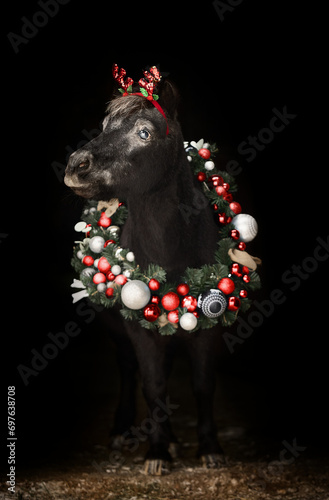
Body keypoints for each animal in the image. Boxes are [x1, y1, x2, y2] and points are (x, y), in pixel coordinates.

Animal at [64, 68, 226, 474]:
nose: (76, 166)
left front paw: (209, 448)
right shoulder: (138, 329)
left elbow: (203, 384)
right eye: (104, 125)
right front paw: (156, 453)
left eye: (144, 133)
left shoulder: (209, 329)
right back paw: (126, 430)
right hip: (118, 328)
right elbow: (152, 385)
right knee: (128, 369)